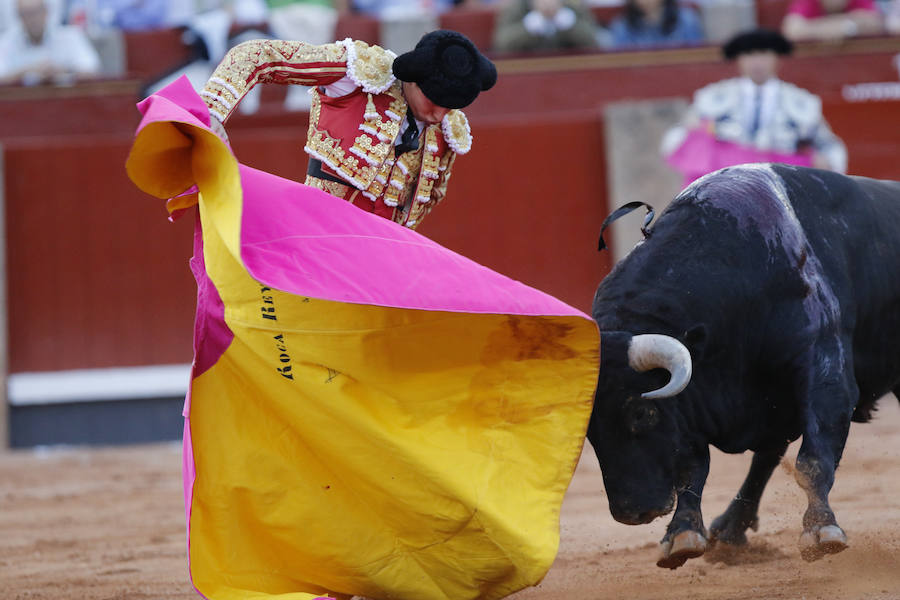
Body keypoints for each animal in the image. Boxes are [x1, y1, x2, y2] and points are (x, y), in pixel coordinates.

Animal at [588, 163, 900, 568]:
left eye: (642, 413)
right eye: (588, 430)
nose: (631, 512)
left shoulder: (824, 372)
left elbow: (813, 459)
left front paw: (821, 531)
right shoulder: (694, 403)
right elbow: (692, 467)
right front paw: (682, 535)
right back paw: (731, 528)